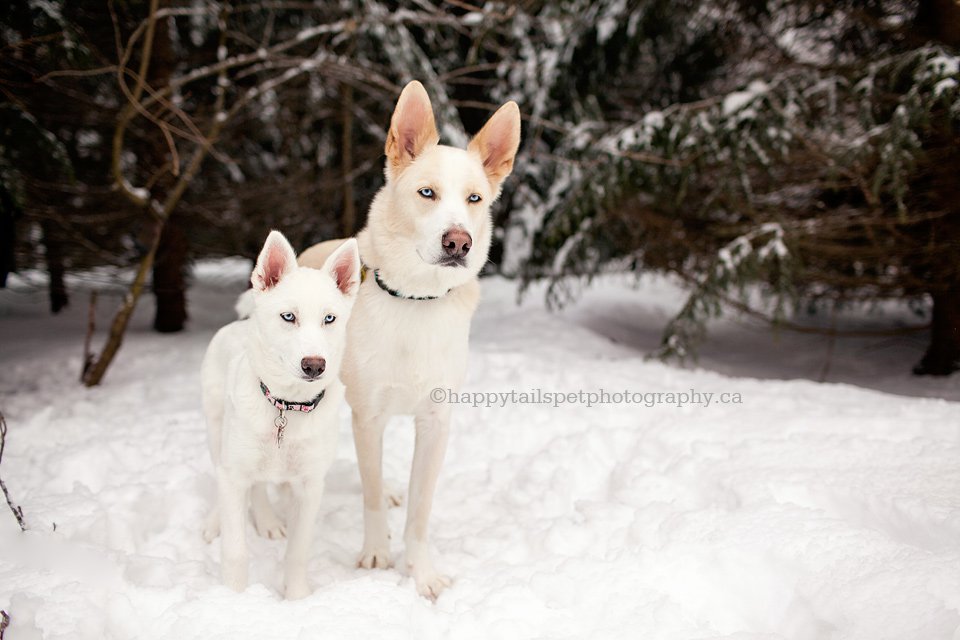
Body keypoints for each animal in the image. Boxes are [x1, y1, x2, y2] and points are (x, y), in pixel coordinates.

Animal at [199, 231, 360, 600]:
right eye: (289, 317)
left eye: (329, 319)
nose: (314, 365)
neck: (286, 406)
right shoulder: (234, 473)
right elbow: (235, 551)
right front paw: (233, 599)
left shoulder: (310, 485)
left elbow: (298, 552)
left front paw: (297, 598)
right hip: (217, 432)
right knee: (222, 475)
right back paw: (216, 521)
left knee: (259, 486)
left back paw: (269, 522)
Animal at [300, 81, 524, 600]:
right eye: (427, 193)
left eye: (475, 199)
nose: (459, 242)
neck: (417, 299)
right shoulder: (367, 415)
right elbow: (368, 493)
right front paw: (376, 555)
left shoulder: (436, 422)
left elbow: (420, 512)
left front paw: (421, 573)